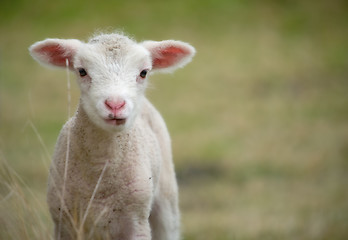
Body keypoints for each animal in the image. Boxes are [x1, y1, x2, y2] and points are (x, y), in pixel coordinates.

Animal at [29, 32, 196, 240]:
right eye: (82, 71)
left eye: (143, 73)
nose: (115, 104)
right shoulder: (64, 222)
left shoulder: (137, 222)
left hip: (166, 201)